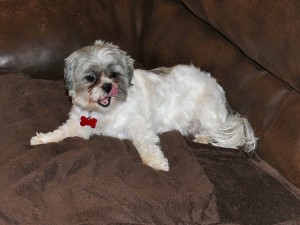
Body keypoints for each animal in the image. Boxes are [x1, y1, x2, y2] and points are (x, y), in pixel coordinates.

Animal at [30, 40, 256, 171]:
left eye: (114, 75)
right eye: (91, 77)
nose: (107, 86)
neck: (106, 112)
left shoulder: (140, 126)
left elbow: (145, 146)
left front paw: (156, 162)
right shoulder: (79, 126)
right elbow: (60, 133)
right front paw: (42, 139)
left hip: (206, 110)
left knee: (217, 131)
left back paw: (203, 137)